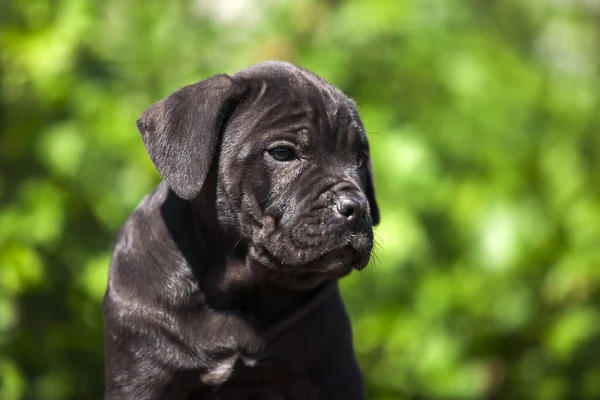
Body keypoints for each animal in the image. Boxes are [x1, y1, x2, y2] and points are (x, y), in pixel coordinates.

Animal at [101, 61, 378, 398]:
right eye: (283, 153)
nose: (357, 207)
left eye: (360, 160)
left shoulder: (333, 375)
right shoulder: (141, 376)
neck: (240, 290)